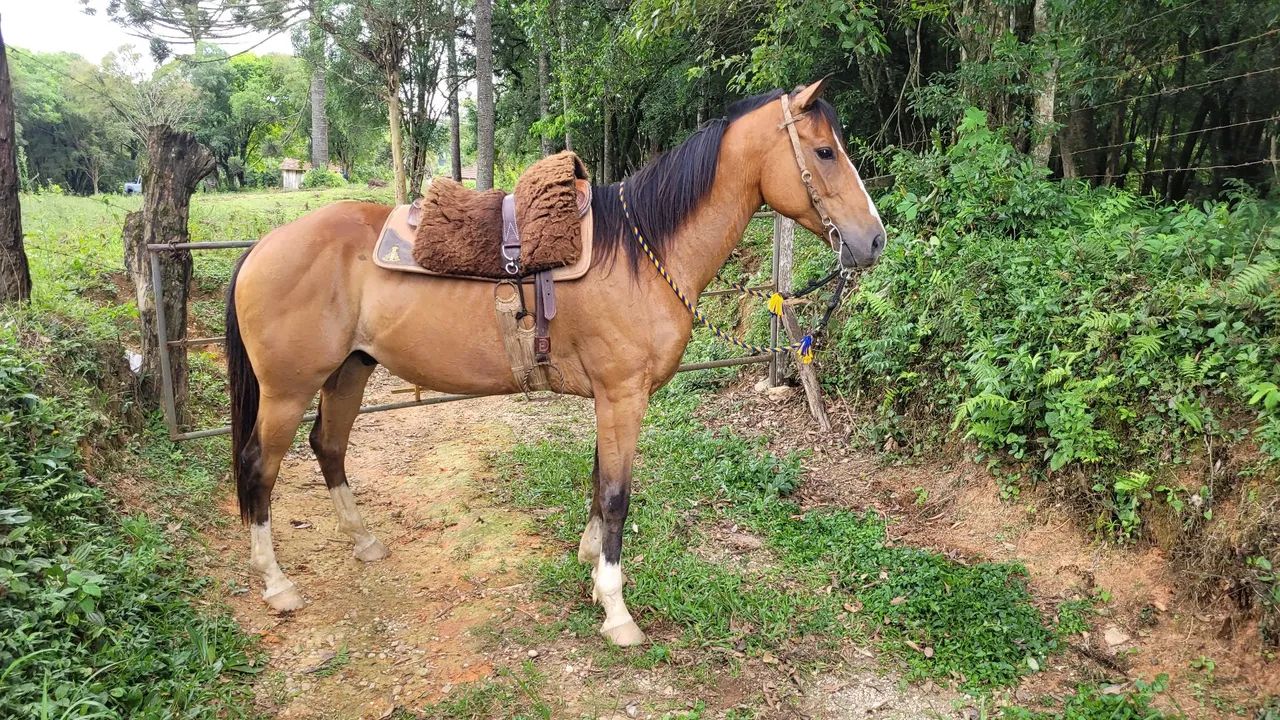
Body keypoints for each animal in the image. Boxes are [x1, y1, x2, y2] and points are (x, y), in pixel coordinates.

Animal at [225, 79, 885, 647]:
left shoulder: (612, 398)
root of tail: (264, 246)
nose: (874, 240)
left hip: (350, 372)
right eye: (825, 151)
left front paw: (592, 564)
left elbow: (598, 480)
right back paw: (277, 584)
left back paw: (363, 542)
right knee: (260, 466)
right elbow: (617, 493)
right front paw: (616, 609)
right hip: (288, 390)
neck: (644, 251)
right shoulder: (622, 395)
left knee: (329, 446)